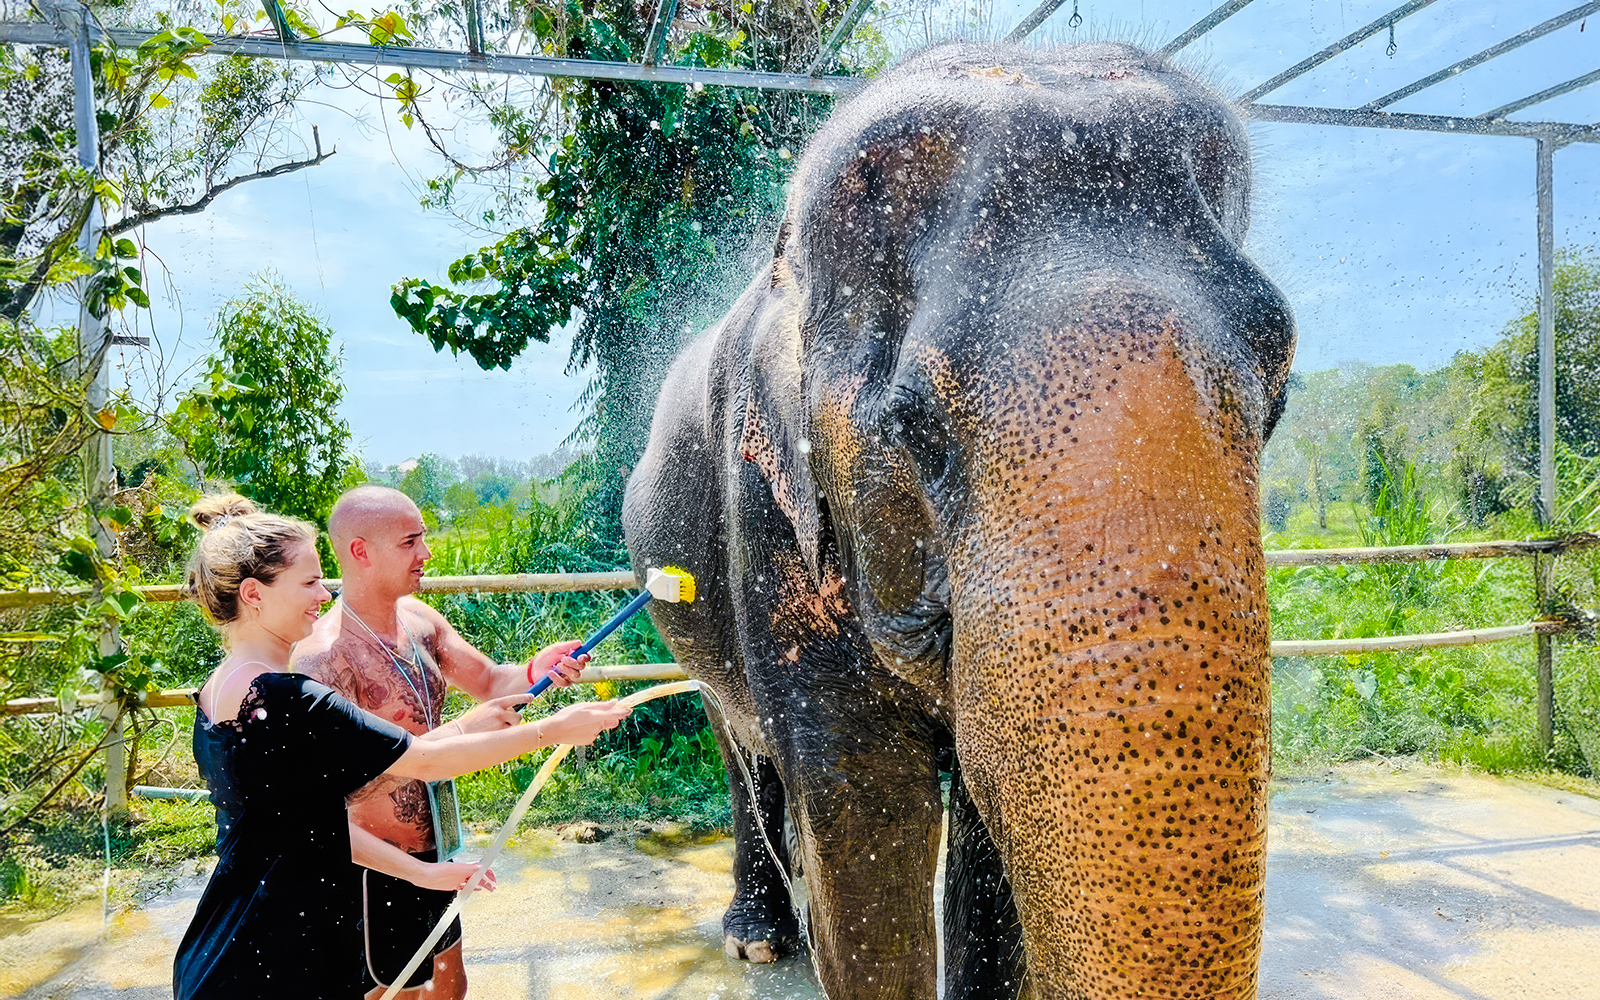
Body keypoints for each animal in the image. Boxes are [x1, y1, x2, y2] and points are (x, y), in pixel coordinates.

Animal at [622, 40, 1295, 1000]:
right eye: (917, 428)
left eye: (1279, 393)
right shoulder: (765, 516)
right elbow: (862, 812)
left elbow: (986, 835)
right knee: (739, 741)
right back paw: (757, 939)